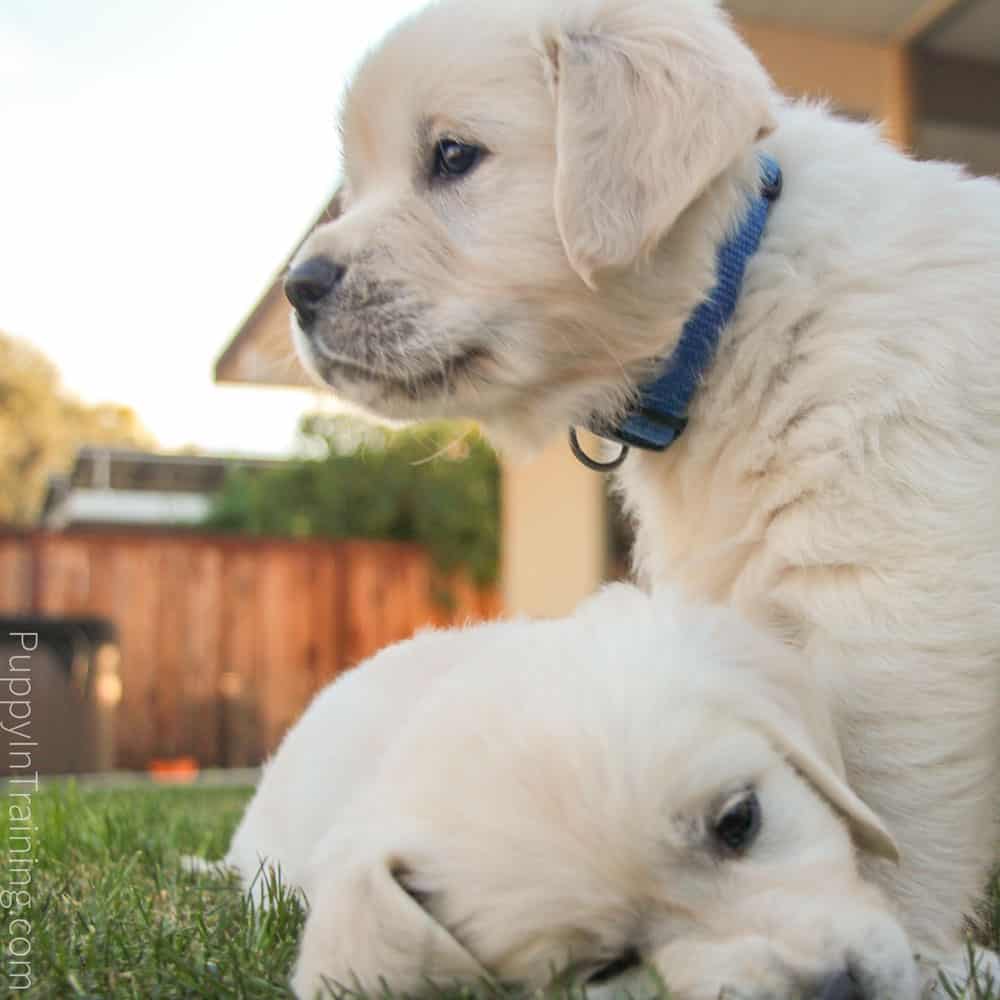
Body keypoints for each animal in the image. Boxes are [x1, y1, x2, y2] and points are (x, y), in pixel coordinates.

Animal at [284, 0, 1000, 992]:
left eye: (453, 156)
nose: (298, 289)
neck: (735, 296)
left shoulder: (902, 609)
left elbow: (895, 804)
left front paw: (920, 953)